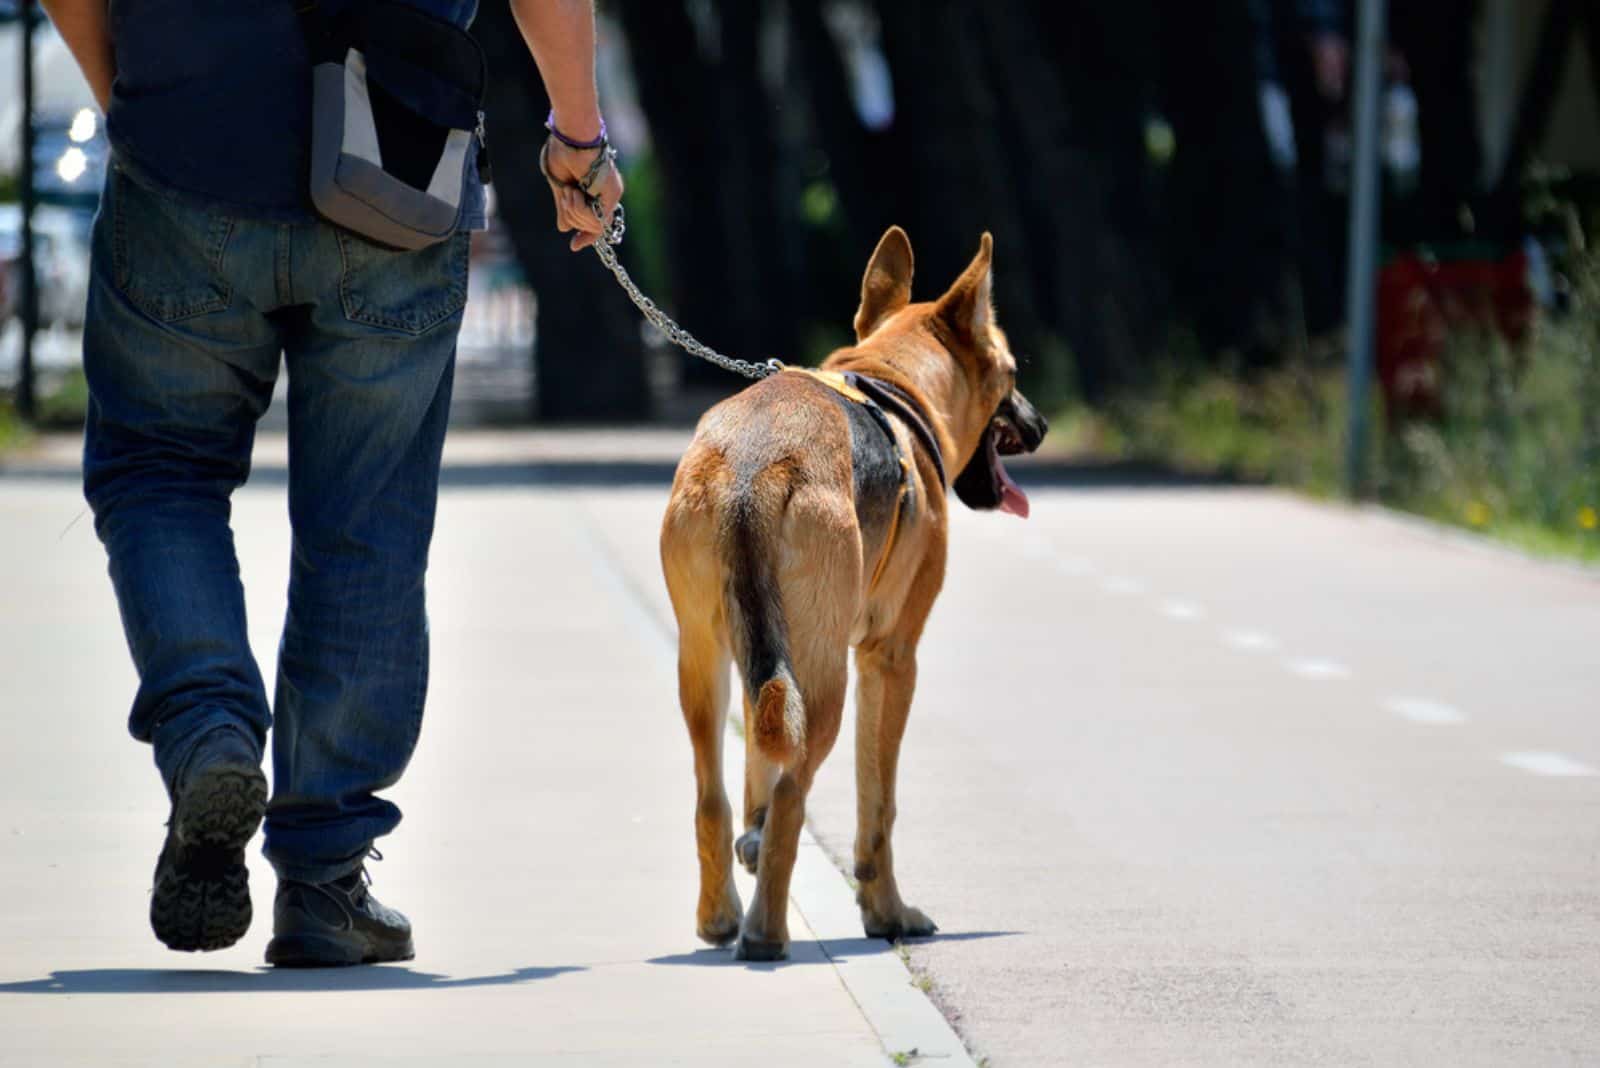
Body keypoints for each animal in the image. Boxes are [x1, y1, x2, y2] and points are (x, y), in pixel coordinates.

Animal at [662, 225, 1049, 959]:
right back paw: (765, 934)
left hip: (706, 665)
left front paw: (754, 846)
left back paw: (720, 917)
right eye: (1011, 374)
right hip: (826, 688)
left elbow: (756, 782)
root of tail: (755, 463)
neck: (892, 379)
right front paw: (887, 913)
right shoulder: (890, 659)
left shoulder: (762, 663)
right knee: (794, 797)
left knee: (709, 795)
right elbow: (880, 806)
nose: (1041, 425)